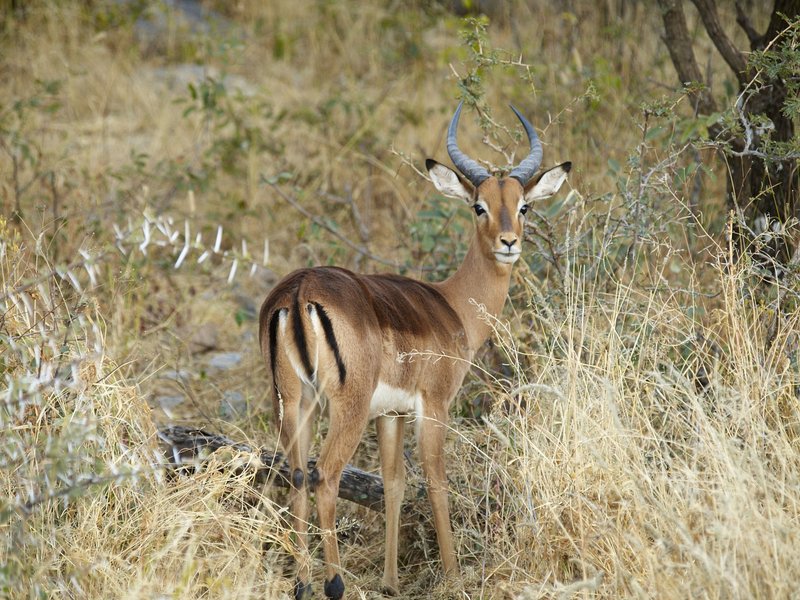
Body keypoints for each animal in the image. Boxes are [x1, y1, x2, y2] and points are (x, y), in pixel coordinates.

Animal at [259, 101, 570, 599]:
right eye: (479, 205)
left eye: (523, 205)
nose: (509, 243)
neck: (453, 305)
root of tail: (299, 291)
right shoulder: (434, 405)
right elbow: (436, 481)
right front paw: (454, 575)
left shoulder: (392, 413)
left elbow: (394, 483)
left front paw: (390, 581)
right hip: (345, 408)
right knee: (325, 475)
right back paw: (334, 583)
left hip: (294, 403)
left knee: (297, 475)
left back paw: (304, 584)